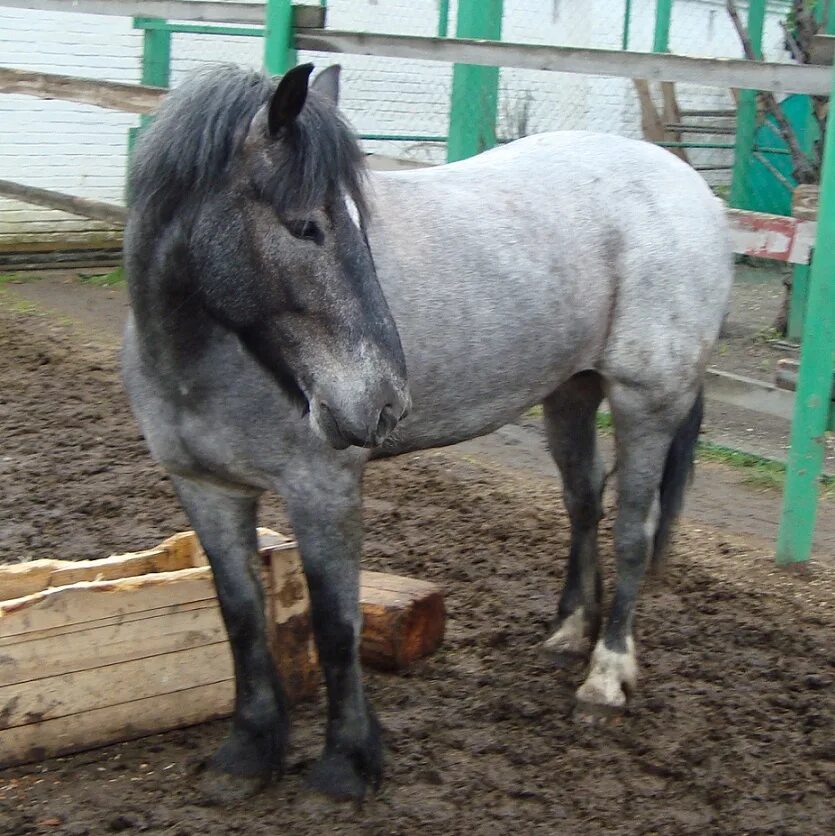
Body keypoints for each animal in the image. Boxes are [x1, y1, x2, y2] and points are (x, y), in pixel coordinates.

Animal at [122, 62, 732, 800]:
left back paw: (606, 677)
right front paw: (248, 753)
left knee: (634, 533)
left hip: (648, 401)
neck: (197, 358)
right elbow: (238, 616)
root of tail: (688, 184)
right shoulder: (204, 489)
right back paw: (568, 634)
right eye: (305, 228)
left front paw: (346, 764)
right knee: (583, 502)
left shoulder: (321, 488)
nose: (383, 402)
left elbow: (336, 621)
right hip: (570, 393)